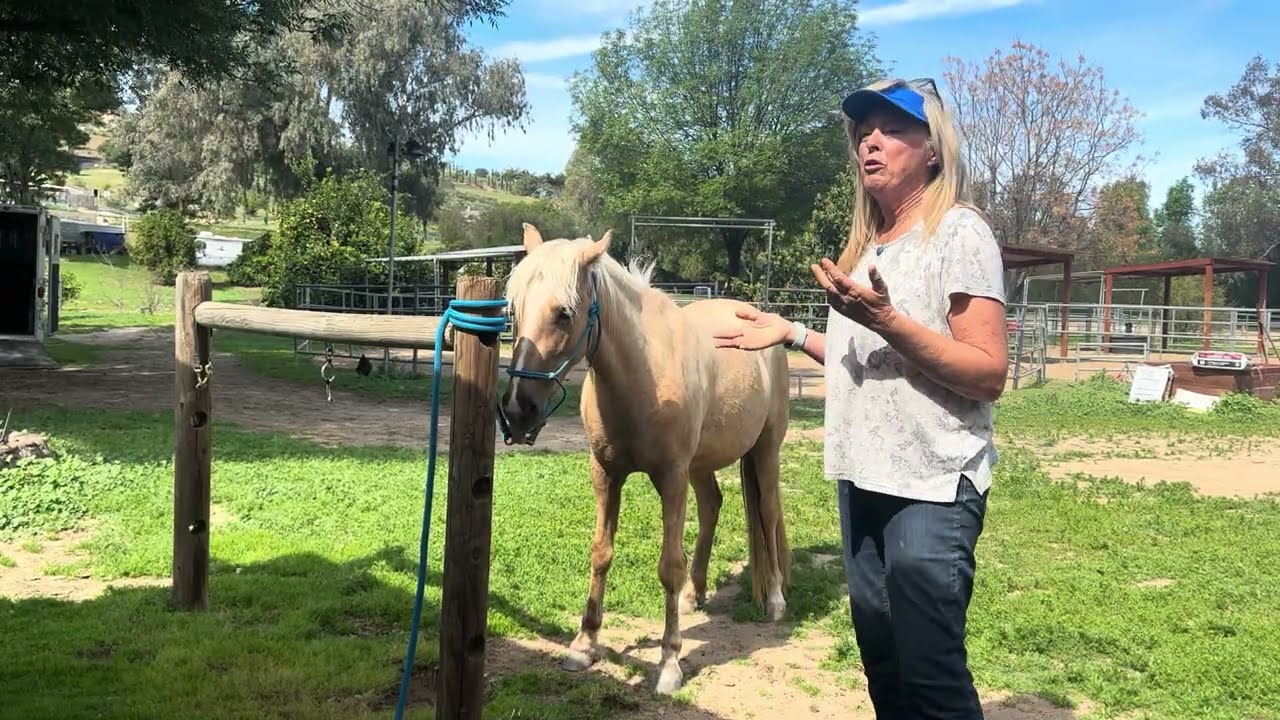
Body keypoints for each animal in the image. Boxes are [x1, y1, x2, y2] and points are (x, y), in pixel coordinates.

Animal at [499, 222, 793, 695]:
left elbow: (669, 566)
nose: (517, 409)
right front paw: (584, 645)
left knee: (768, 513)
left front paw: (670, 663)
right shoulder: (606, 474)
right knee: (712, 507)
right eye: (515, 310)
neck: (642, 376)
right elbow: (601, 552)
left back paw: (776, 602)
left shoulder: (671, 478)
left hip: (765, 449)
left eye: (564, 313)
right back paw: (695, 595)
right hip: (701, 466)